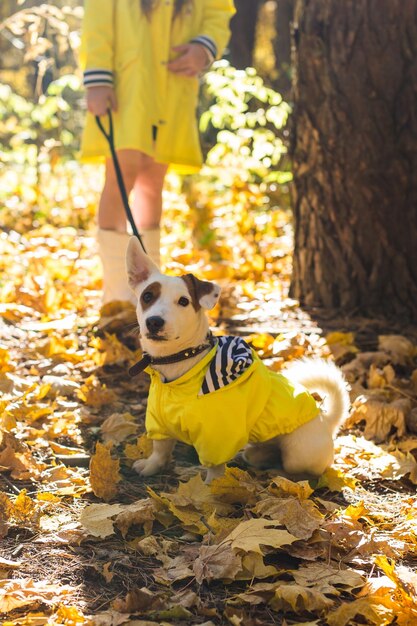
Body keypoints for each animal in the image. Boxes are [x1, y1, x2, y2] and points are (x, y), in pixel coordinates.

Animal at [126, 236, 348, 480]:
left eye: (183, 301)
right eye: (147, 296)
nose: (154, 322)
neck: (177, 365)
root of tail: (326, 421)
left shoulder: (217, 437)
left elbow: (214, 470)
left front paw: (212, 486)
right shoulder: (159, 422)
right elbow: (161, 449)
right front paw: (151, 466)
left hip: (298, 454)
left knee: (302, 472)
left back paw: (278, 473)